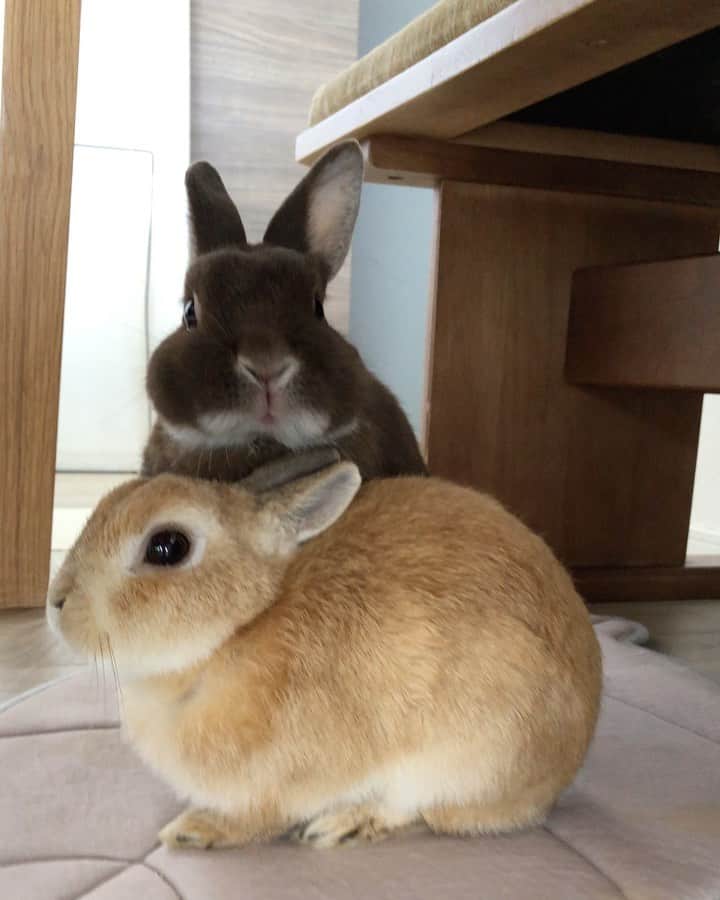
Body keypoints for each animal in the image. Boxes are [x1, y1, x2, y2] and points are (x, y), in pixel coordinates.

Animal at [48, 454, 602, 851]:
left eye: (167, 547)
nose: (56, 601)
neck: (239, 630)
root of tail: (567, 768)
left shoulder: (277, 787)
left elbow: (258, 820)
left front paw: (194, 829)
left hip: (463, 758)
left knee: (420, 810)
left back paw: (341, 826)